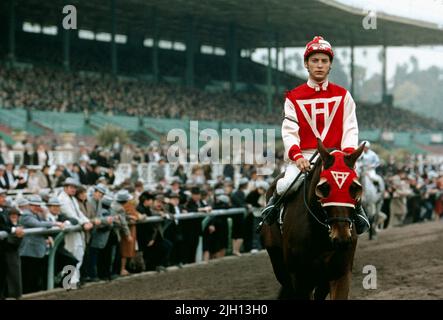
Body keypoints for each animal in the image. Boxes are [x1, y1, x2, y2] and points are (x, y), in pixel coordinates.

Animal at [262, 140, 366, 300]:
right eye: (324, 187)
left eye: (354, 187)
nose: (341, 237)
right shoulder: (300, 278)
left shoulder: (339, 273)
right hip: (279, 265)